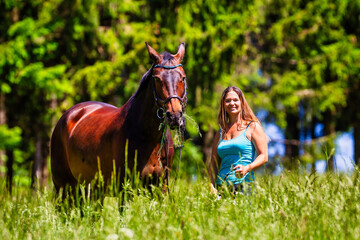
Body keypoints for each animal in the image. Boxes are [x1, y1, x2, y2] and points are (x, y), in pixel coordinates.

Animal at [50, 42, 187, 193]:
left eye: (183, 78)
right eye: (157, 78)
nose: (174, 116)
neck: (148, 137)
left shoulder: (161, 187)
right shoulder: (124, 187)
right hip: (63, 187)